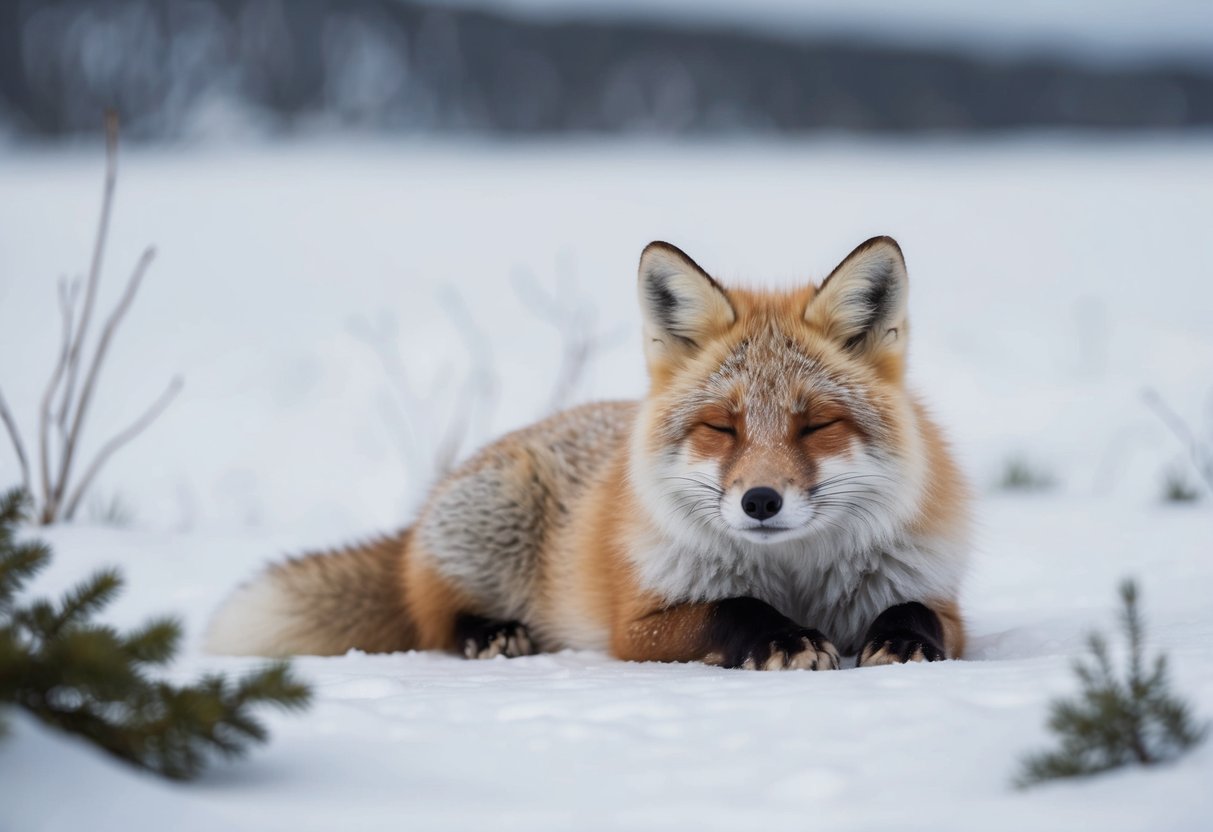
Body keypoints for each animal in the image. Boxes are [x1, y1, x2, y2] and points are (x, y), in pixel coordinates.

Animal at [207, 236, 971, 670]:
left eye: (815, 426)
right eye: (721, 428)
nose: (760, 501)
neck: (794, 580)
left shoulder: (940, 600)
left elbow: (918, 612)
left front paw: (904, 643)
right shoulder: (637, 627)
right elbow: (733, 608)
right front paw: (783, 639)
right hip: (487, 524)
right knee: (433, 617)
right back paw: (493, 634)